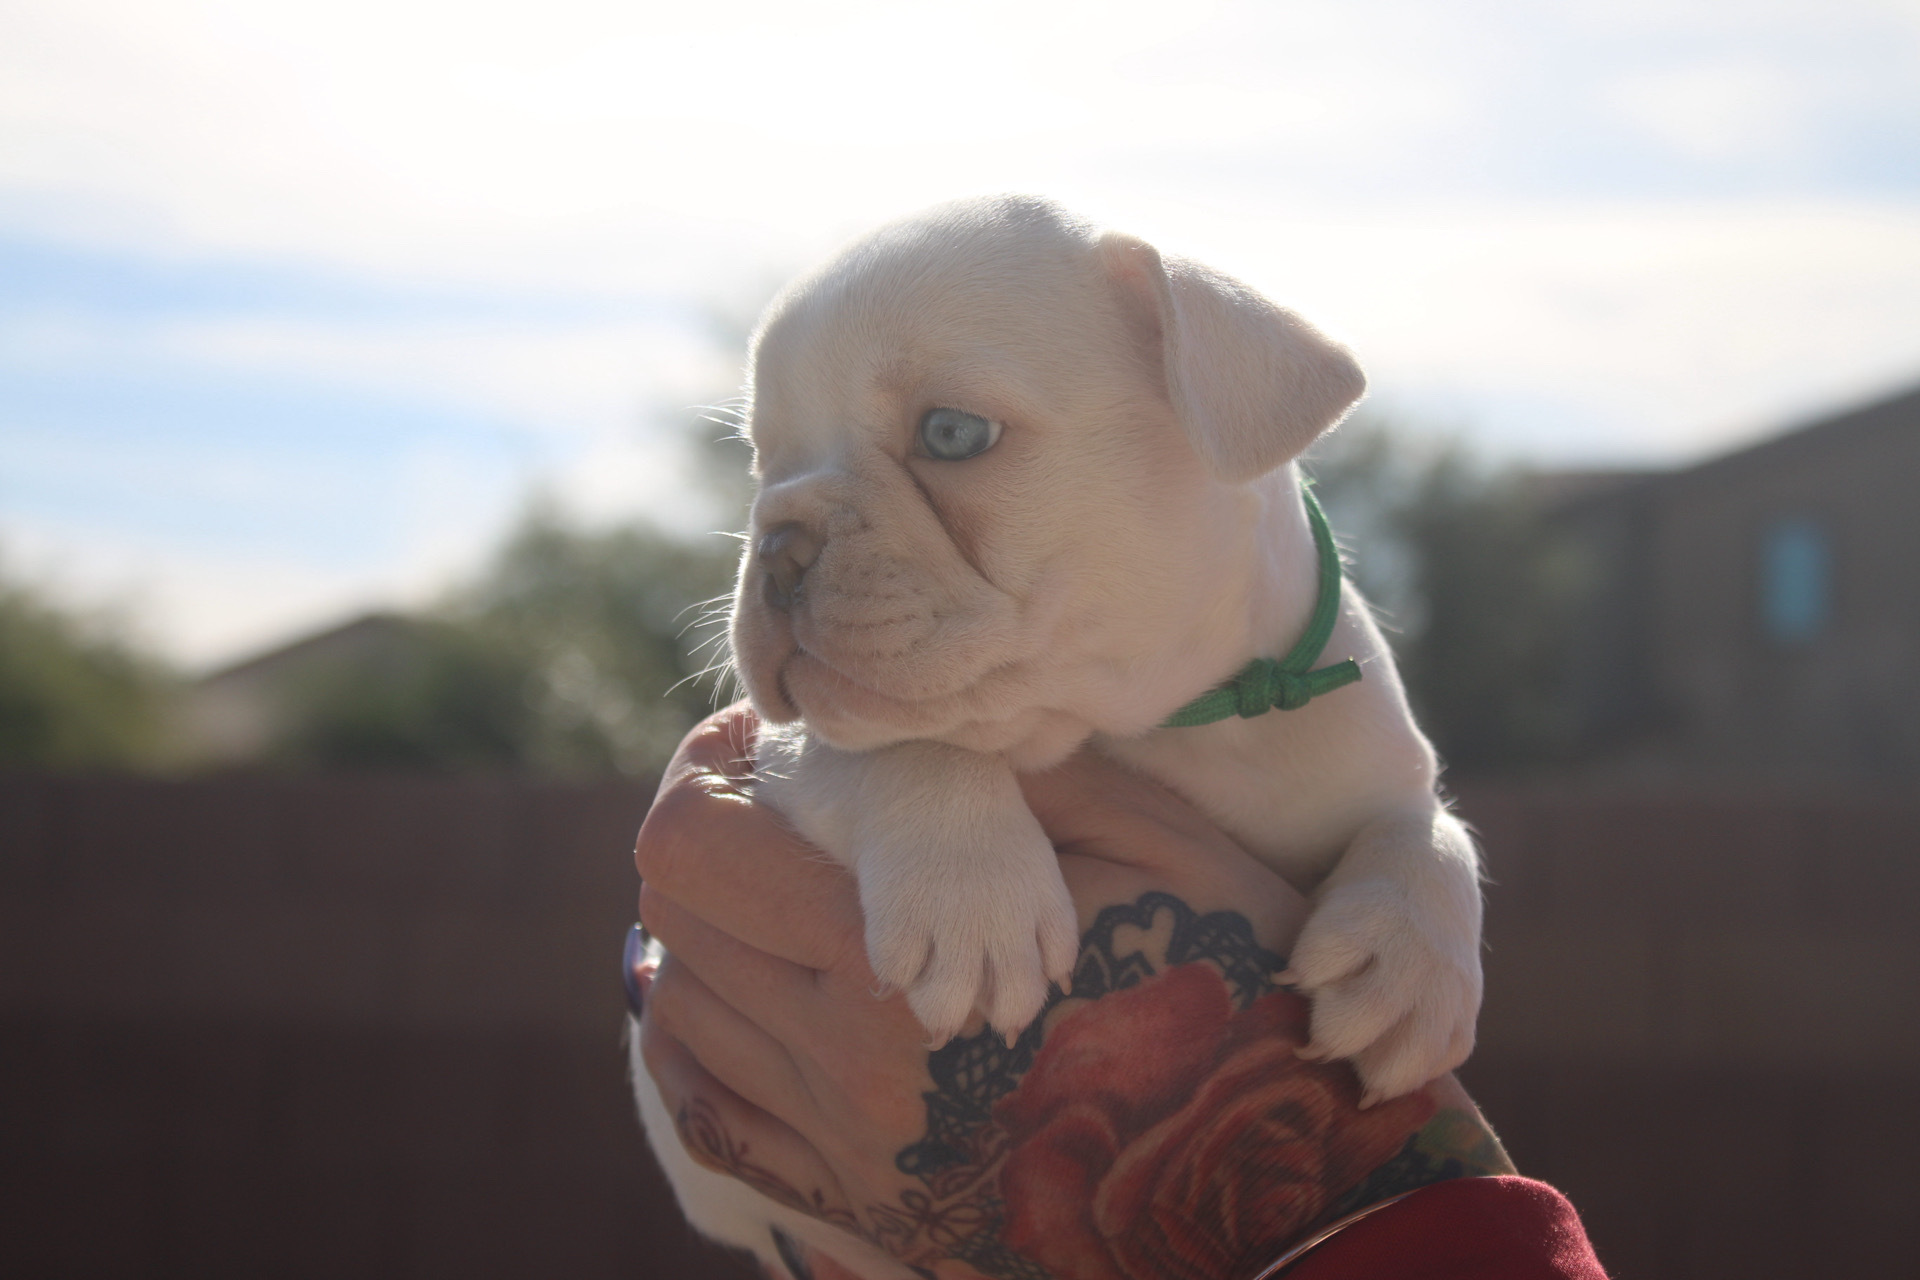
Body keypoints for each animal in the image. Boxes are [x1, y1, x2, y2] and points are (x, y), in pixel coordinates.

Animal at [633, 195, 1482, 1278]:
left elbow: (1429, 831)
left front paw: (1408, 969)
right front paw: (972, 901)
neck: (1149, 721)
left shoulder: (1369, 756)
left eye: (952, 433)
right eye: (762, 462)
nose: (775, 541)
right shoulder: (789, 746)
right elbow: (904, 740)